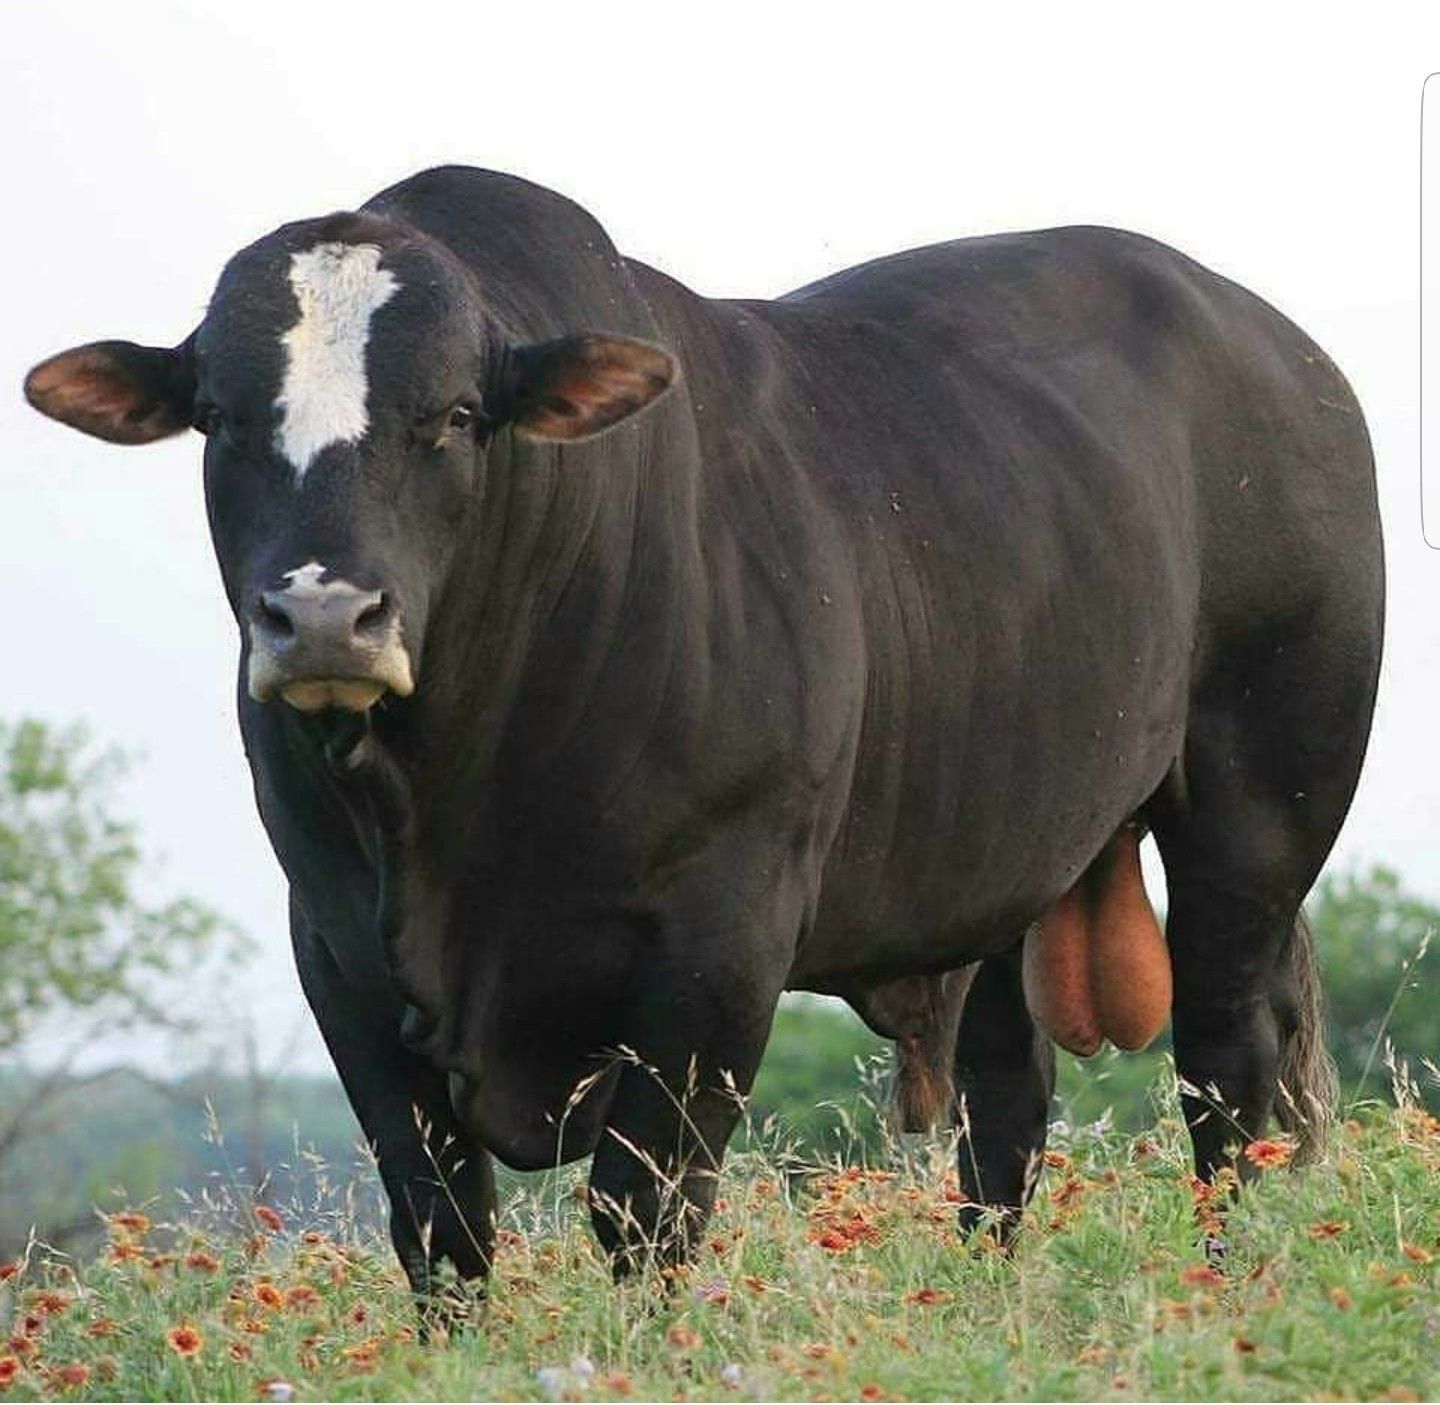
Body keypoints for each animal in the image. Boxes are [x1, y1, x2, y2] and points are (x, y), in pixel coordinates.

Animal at [24, 166, 1383, 1297]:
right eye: (218, 417)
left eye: (457, 414)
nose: (320, 616)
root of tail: (1283, 348)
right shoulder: (338, 948)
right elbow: (440, 1226)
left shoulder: (720, 943)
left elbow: (645, 1210)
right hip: (1010, 856)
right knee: (1008, 1103)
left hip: (1259, 815)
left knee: (1228, 1080)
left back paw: (1224, 1283)